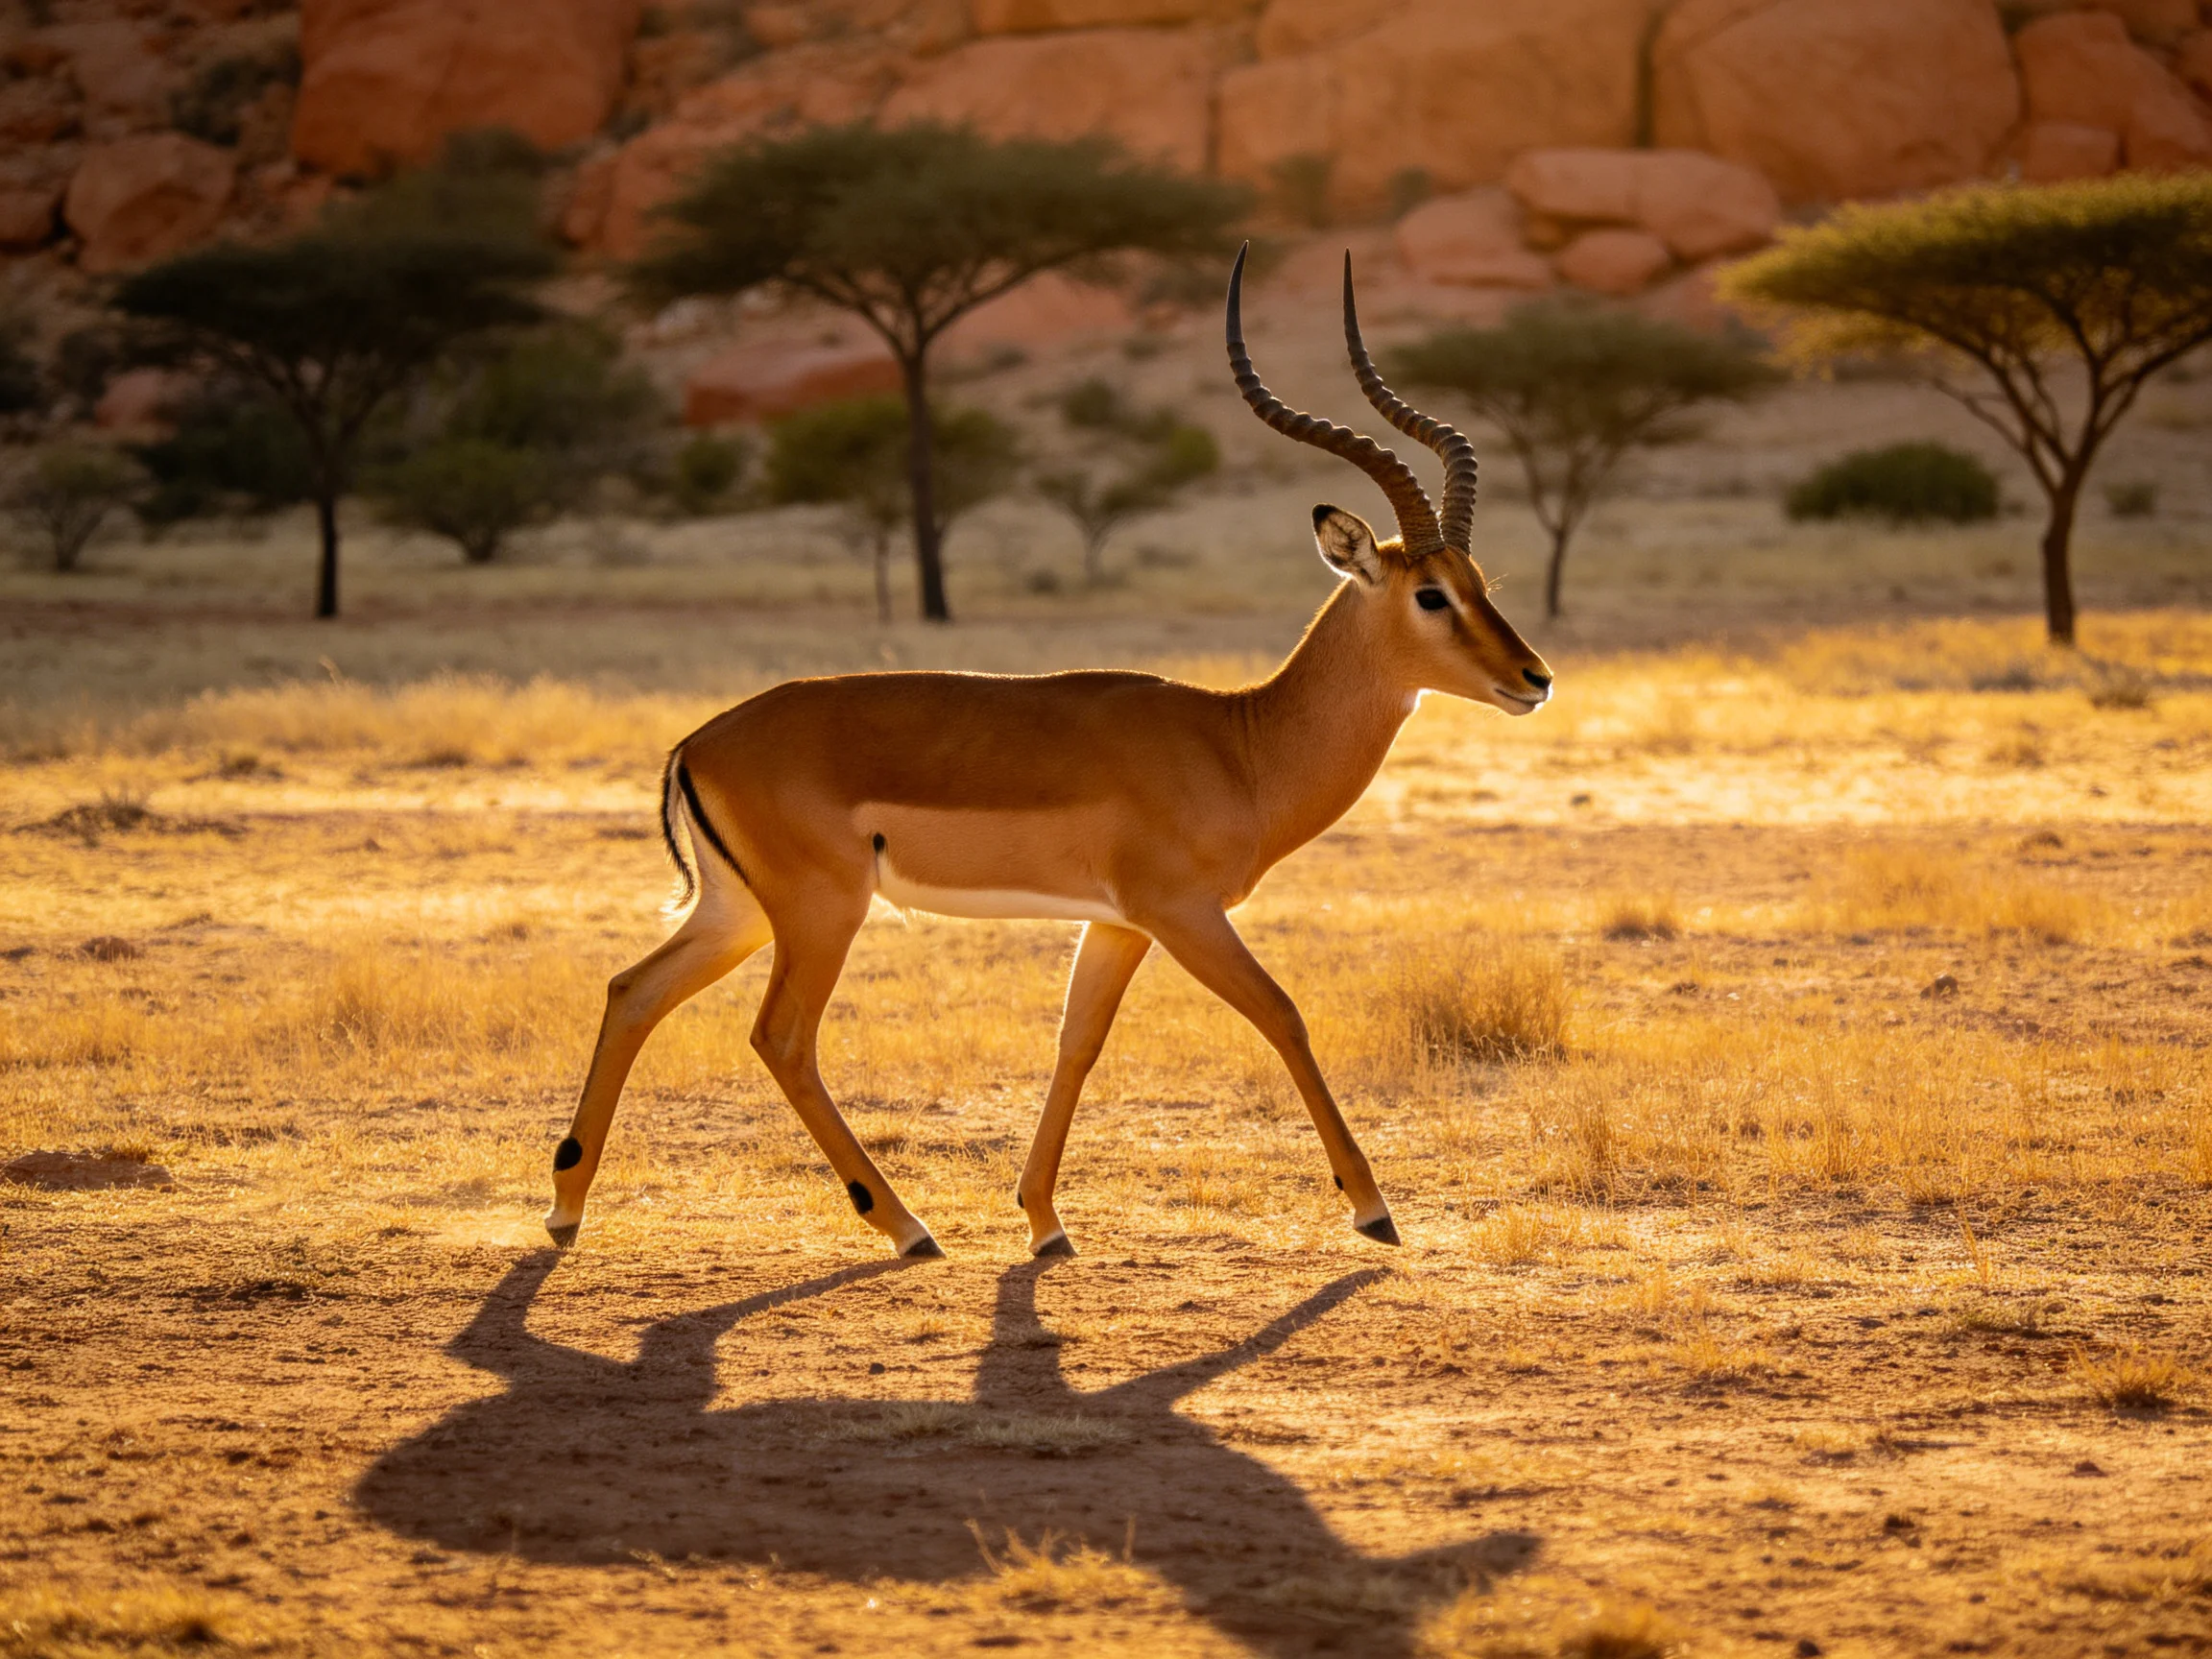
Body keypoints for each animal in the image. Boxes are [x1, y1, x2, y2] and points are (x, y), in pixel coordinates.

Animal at [545, 247, 1553, 1259]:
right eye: (1430, 595)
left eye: (1480, 581)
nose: (1535, 678)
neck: (1239, 746)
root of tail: (696, 741)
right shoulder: (1182, 913)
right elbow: (1284, 1014)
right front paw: (1373, 1209)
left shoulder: (1117, 924)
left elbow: (1078, 1041)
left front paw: (1044, 1221)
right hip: (821, 910)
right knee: (780, 1036)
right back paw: (905, 1226)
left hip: (741, 911)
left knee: (632, 989)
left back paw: (565, 1208)